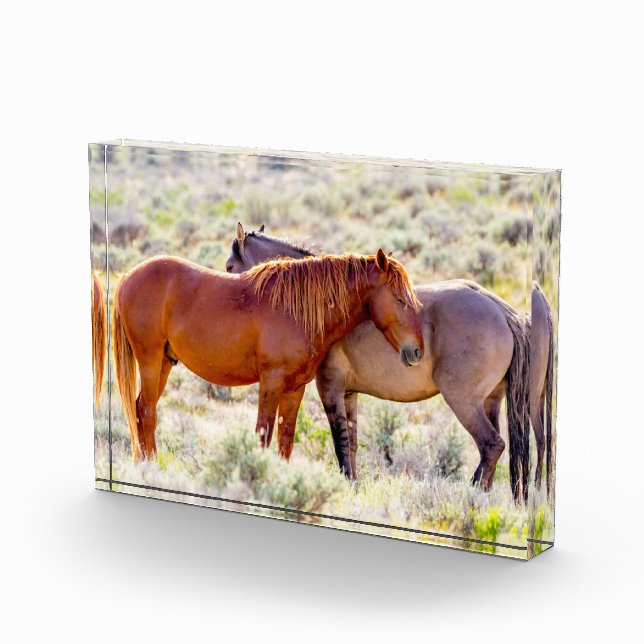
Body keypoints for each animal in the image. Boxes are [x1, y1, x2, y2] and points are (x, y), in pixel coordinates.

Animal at [110, 251, 424, 463]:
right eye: (399, 298)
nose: (417, 350)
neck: (296, 311)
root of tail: (127, 277)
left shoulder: (295, 388)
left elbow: (286, 439)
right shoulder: (271, 382)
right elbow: (264, 433)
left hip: (164, 363)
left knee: (141, 409)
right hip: (149, 361)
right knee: (146, 411)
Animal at [227, 224, 531, 503]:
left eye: (230, 266)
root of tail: (501, 310)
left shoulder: (330, 387)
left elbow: (340, 442)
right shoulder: (349, 393)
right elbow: (351, 444)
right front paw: (353, 485)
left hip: (463, 402)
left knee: (491, 446)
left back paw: (472, 495)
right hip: (490, 402)